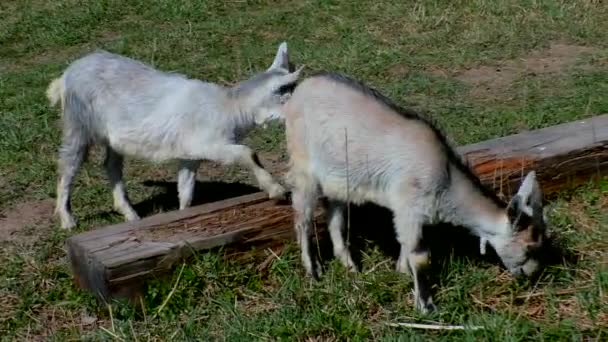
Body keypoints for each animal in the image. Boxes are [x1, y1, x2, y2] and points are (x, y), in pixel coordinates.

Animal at [47, 42, 302, 230]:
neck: (231, 107)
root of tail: (66, 75)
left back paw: (130, 214)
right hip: (78, 122)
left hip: (111, 138)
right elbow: (247, 153)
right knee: (68, 165)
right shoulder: (211, 143)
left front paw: (182, 216)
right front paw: (276, 190)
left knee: (111, 165)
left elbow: (186, 189)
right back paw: (68, 221)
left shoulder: (191, 154)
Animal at [282, 71, 548, 312]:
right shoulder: (409, 204)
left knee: (335, 217)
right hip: (302, 163)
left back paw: (350, 266)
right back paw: (313, 270)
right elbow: (419, 255)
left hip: (338, 177)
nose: (532, 274)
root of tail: (300, 90)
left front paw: (401, 272)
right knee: (302, 218)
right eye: (529, 246)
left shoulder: (406, 212)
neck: (446, 178)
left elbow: (405, 244)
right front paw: (426, 305)